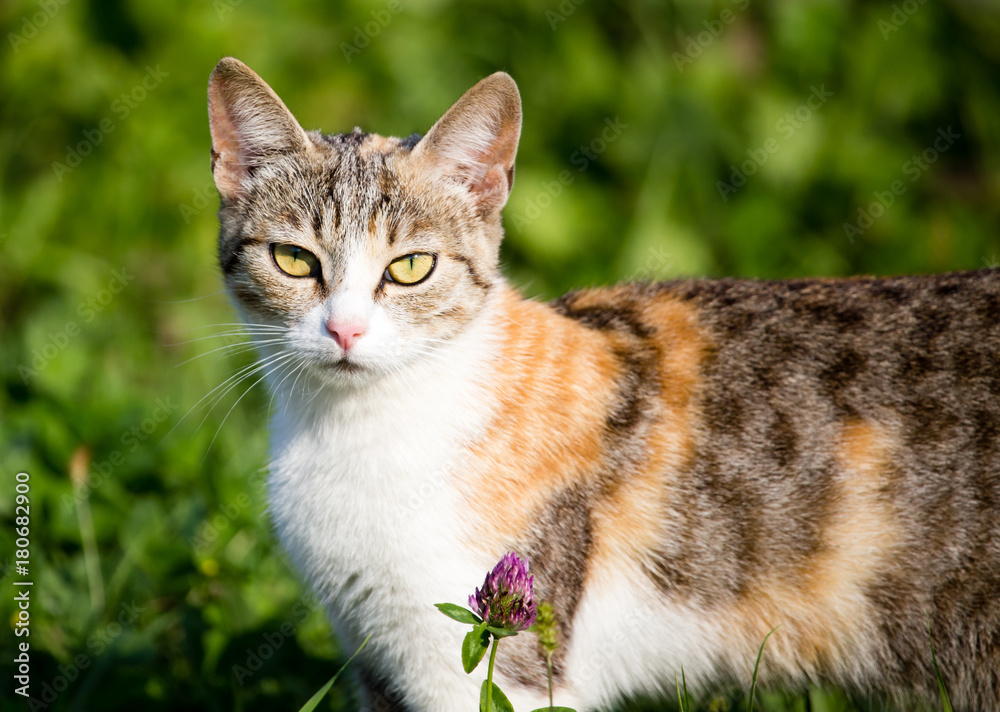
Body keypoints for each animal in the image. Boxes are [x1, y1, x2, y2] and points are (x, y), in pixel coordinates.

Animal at [205, 57, 1000, 712]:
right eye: (293, 259)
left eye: (409, 268)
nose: (345, 330)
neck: (355, 432)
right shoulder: (375, 654)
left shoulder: (498, 664)